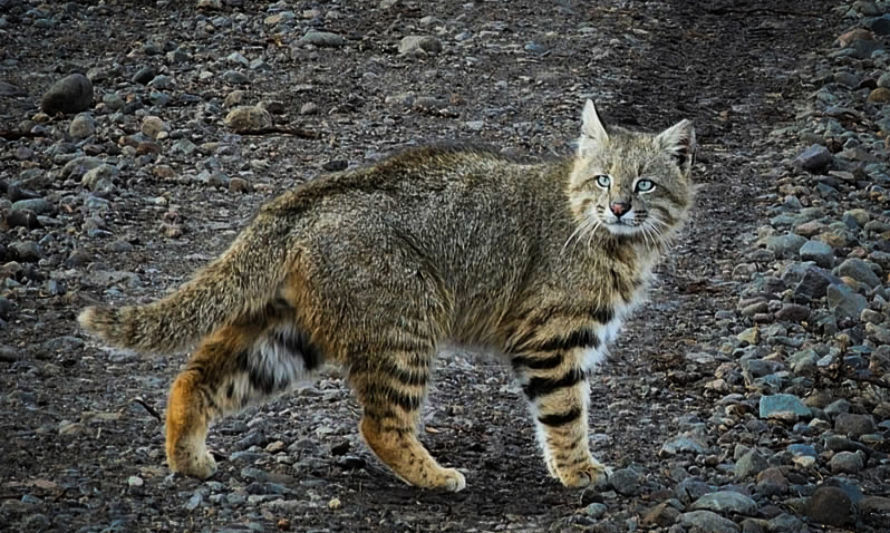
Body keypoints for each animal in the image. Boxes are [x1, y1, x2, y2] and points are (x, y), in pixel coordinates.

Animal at [80, 100, 692, 490]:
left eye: (645, 183)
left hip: (291, 334)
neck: (612, 239)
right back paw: (435, 476)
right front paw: (578, 471)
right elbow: (566, 412)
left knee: (196, 375)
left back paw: (187, 456)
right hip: (405, 326)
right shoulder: (552, 340)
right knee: (378, 425)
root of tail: (299, 200)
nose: (619, 207)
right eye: (603, 179)